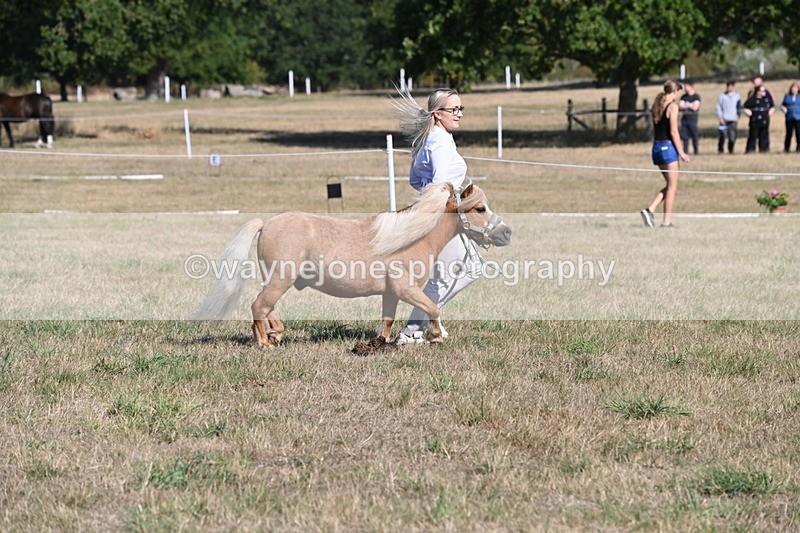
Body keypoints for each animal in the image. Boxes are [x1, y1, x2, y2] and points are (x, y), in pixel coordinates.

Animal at [194, 182, 512, 347]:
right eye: (480, 208)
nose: (506, 233)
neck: (411, 238)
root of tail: (266, 223)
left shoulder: (390, 294)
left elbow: (387, 320)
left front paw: (379, 343)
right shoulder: (406, 289)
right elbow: (433, 307)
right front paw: (437, 336)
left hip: (276, 279)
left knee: (267, 306)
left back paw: (276, 333)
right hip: (280, 279)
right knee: (259, 306)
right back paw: (264, 342)